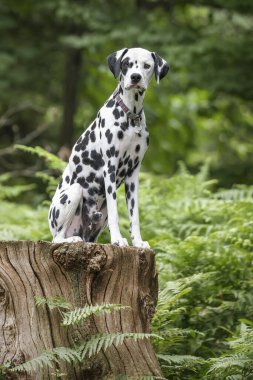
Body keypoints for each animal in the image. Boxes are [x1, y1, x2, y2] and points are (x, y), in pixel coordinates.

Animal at [48, 47, 169, 248]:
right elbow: (115, 213)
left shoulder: (133, 175)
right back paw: (71, 239)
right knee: (58, 237)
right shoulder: (110, 168)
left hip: (97, 219)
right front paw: (117, 239)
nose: (135, 77)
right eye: (127, 63)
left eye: (146, 65)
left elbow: (134, 216)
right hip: (74, 192)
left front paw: (138, 242)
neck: (131, 117)